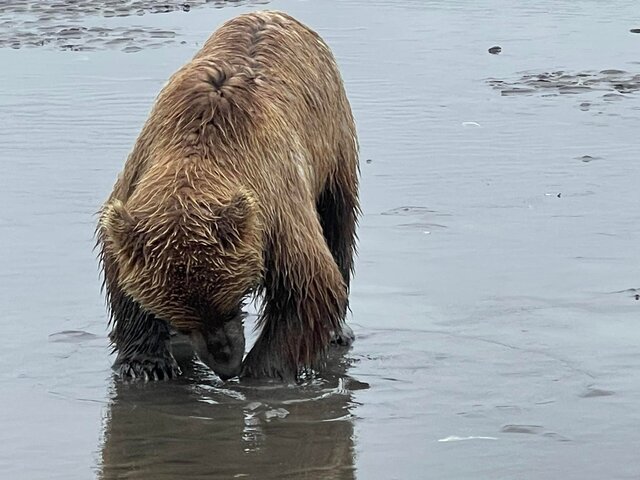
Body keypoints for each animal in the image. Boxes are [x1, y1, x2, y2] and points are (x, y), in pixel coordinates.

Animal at [98, 9, 362, 380]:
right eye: (184, 315)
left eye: (228, 303)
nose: (225, 363)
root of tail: (272, 12)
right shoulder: (138, 176)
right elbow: (116, 265)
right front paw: (146, 364)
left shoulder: (274, 204)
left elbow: (310, 285)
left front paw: (260, 373)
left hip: (333, 140)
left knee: (338, 219)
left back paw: (338, 330)